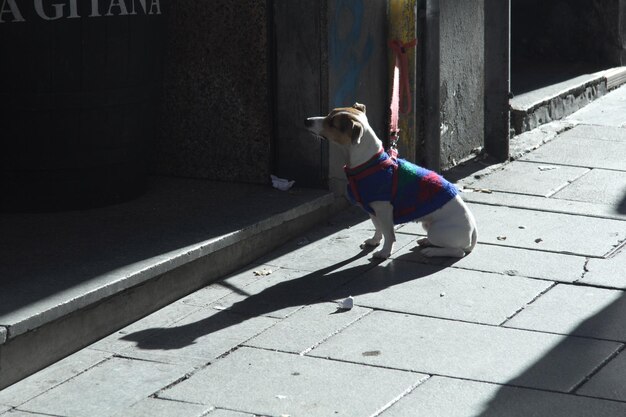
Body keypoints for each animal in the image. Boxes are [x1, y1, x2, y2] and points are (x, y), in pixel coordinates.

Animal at [304, 101, 476, 256]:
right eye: (329, 114)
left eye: (332, 123)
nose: (307, 120)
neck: (368, 163)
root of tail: (473, 230)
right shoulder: (373, 210)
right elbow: (378, 227)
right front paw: (374, 241)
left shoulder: (383, 209)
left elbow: (388, 234)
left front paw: (384, 252)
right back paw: (426, 242)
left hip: (437, 231)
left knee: (458, 252)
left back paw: (432, 251)